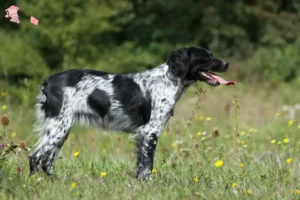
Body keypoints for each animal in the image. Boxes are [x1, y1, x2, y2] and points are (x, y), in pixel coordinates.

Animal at [28, 47, 232, 180]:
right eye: (205, 58)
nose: (227, 63)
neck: (168, 80)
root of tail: (48, 81)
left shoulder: (143, 134)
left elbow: (141, 165)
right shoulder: (150, 131)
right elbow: (147, 166)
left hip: (61, 129)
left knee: (47, 161)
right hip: (58, 127)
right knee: (36, 158)